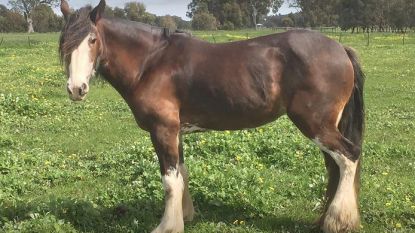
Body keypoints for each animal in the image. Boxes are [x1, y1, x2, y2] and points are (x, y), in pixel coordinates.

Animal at [58, 0, 364, 232]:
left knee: (348, 158)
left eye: (92, 40)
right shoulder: (176, 131)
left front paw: (168, 226)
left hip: (315, 125)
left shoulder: (162, 130)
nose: (76, 89)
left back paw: (338, 222)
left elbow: (169, 180)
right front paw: (185, 216)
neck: (151, 63)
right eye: (64, 44)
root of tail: (340, 48)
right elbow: (182, 174)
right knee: (334, 167)